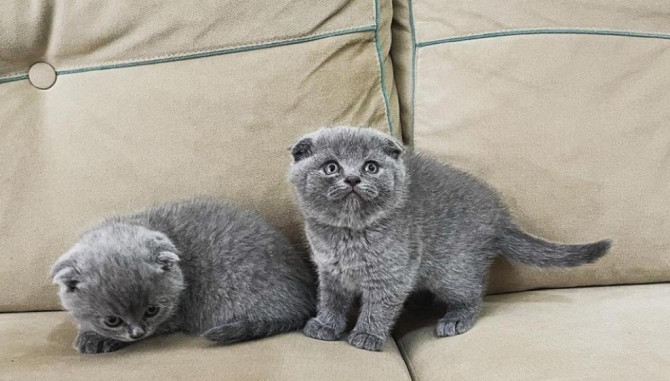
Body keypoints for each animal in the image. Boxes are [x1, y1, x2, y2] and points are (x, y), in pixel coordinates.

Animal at [288, 127, 616, 350]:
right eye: (331, 167)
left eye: (371, 166)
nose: (353, 179)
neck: (348, 232)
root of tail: (499, 217)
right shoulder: (330, 270)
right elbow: (331, 299)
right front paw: (326, 325)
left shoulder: (392, 274)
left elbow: (379, 306)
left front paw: (367, 334)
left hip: (451, 270)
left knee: (473, 294)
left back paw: (456, 319)